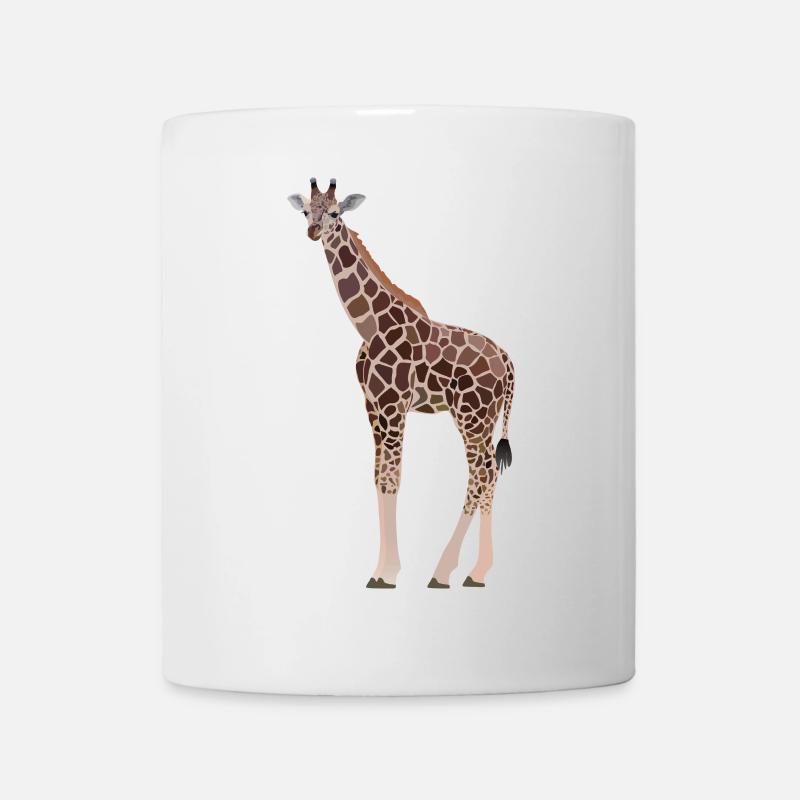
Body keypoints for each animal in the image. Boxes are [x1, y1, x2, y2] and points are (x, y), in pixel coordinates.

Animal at [288, 178, 515, 589]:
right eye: (306, 211)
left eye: (335, 213)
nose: (313, 232)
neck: (369, 325)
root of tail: (507, 362)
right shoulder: (373, 408)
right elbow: (378, 478)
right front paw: (379, 570)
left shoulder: (394, 407)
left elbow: (393, 479)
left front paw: (388, 574)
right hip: (483, 418)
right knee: (484, 474)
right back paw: (466, 571)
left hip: (471, 415)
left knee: (482, 473)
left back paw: (453, 571)